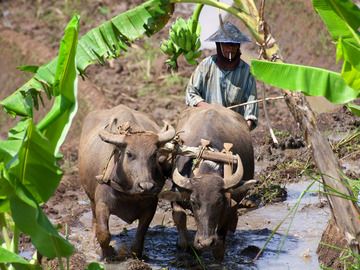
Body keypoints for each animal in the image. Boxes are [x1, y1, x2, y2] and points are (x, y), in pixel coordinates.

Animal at [78, 105, 175, 260]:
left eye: (154, 154)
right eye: (129, 154)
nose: (146, 186)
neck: (129, 194)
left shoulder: (150, 207)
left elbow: (141, 234)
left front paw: (136, 254)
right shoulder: (102, 204)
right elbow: (103, 233)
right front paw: (108, 253)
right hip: (90, 196)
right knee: (93, 219)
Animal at [160, 104, 256, 260]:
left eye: (219, 202)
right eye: (193, 202)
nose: (205, 242)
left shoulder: (228, 208)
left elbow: (219, 247)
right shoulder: (178, 194)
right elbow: (180, 217)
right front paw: (183, 245)